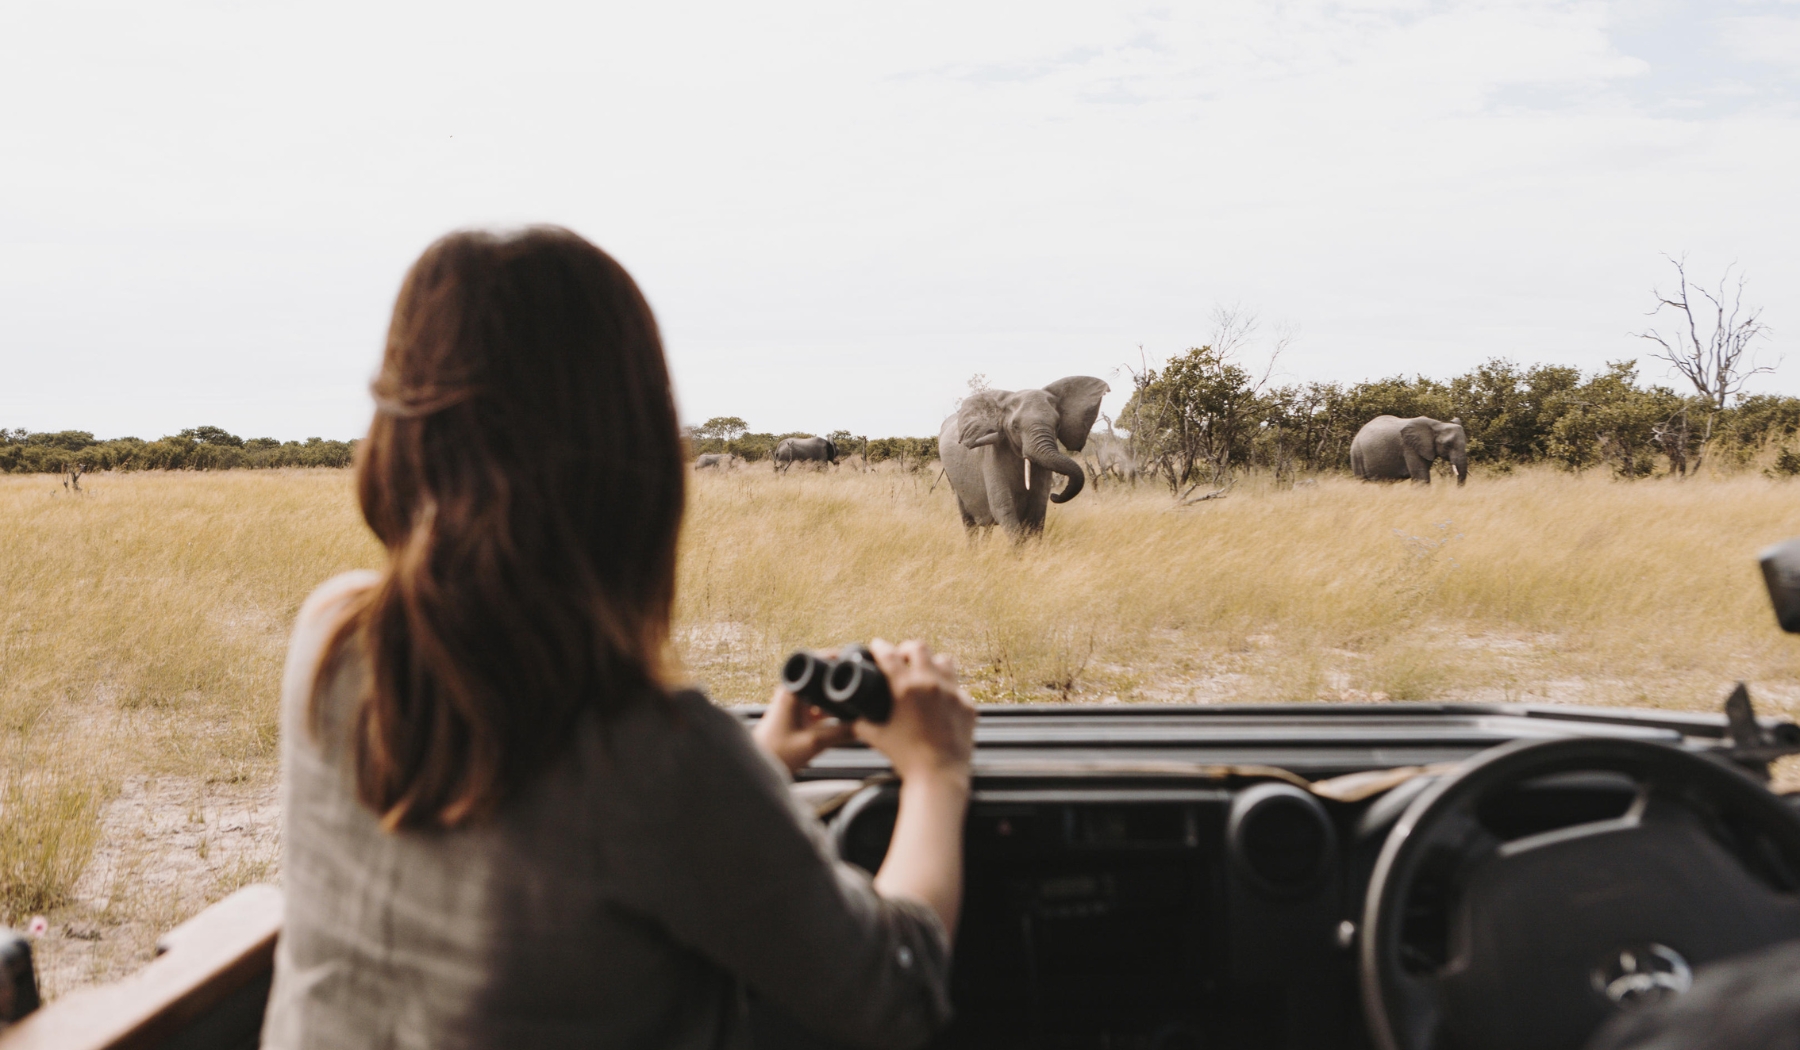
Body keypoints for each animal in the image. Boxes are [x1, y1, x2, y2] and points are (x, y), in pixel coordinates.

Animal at [939, 376, 1110, 538]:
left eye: (1057, 425)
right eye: (1015, 427)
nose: (1055, 496)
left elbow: (1038, 512)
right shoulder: (992, 454)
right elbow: (1003, 509)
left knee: (987, 527)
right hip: (954, 481)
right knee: (969, 525)